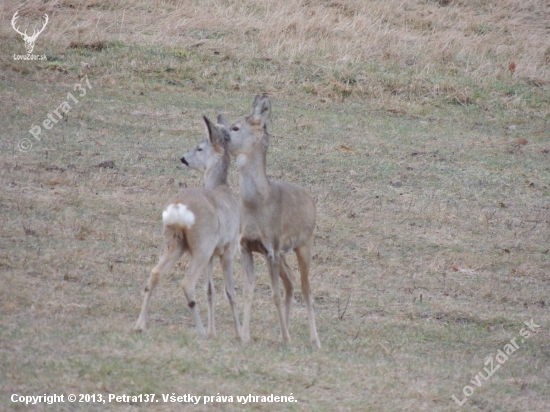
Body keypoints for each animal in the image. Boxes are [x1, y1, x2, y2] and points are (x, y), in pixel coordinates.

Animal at [134, 116, 242, 342]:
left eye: (199, 148)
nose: (183, 158)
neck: (222, 188)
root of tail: (178, 209)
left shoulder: (213, 254)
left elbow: (210, 290)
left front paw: (213, 331)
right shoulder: (228, 249)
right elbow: (230, 291)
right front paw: (240, 334)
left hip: (174, 242)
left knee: (155, 273)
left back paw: (140, 325)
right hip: (201, 245)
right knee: (187, 283)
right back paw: (200, 332)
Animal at [220, 96, 324, 348]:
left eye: (235, 127)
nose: (220, 136)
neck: (258, 204)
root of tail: (311, 200)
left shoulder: (271, 248)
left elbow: (274, 294)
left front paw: (286, 338)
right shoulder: (246, 246)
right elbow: (248, 291)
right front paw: (245, 336)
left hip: (304, 244)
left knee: (306, 288)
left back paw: (314, 340)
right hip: (284, 252)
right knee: (291, 281)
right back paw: (283, 332)